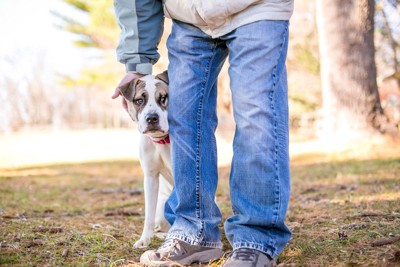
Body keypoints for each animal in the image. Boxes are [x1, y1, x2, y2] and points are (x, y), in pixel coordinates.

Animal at [118, 71, 173, 249]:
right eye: (139, 101)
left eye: (163, 98)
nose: (152, 118)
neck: (162, 141)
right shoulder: (150, 177)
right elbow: (148, 214)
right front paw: (144, 239)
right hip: (161, 209)